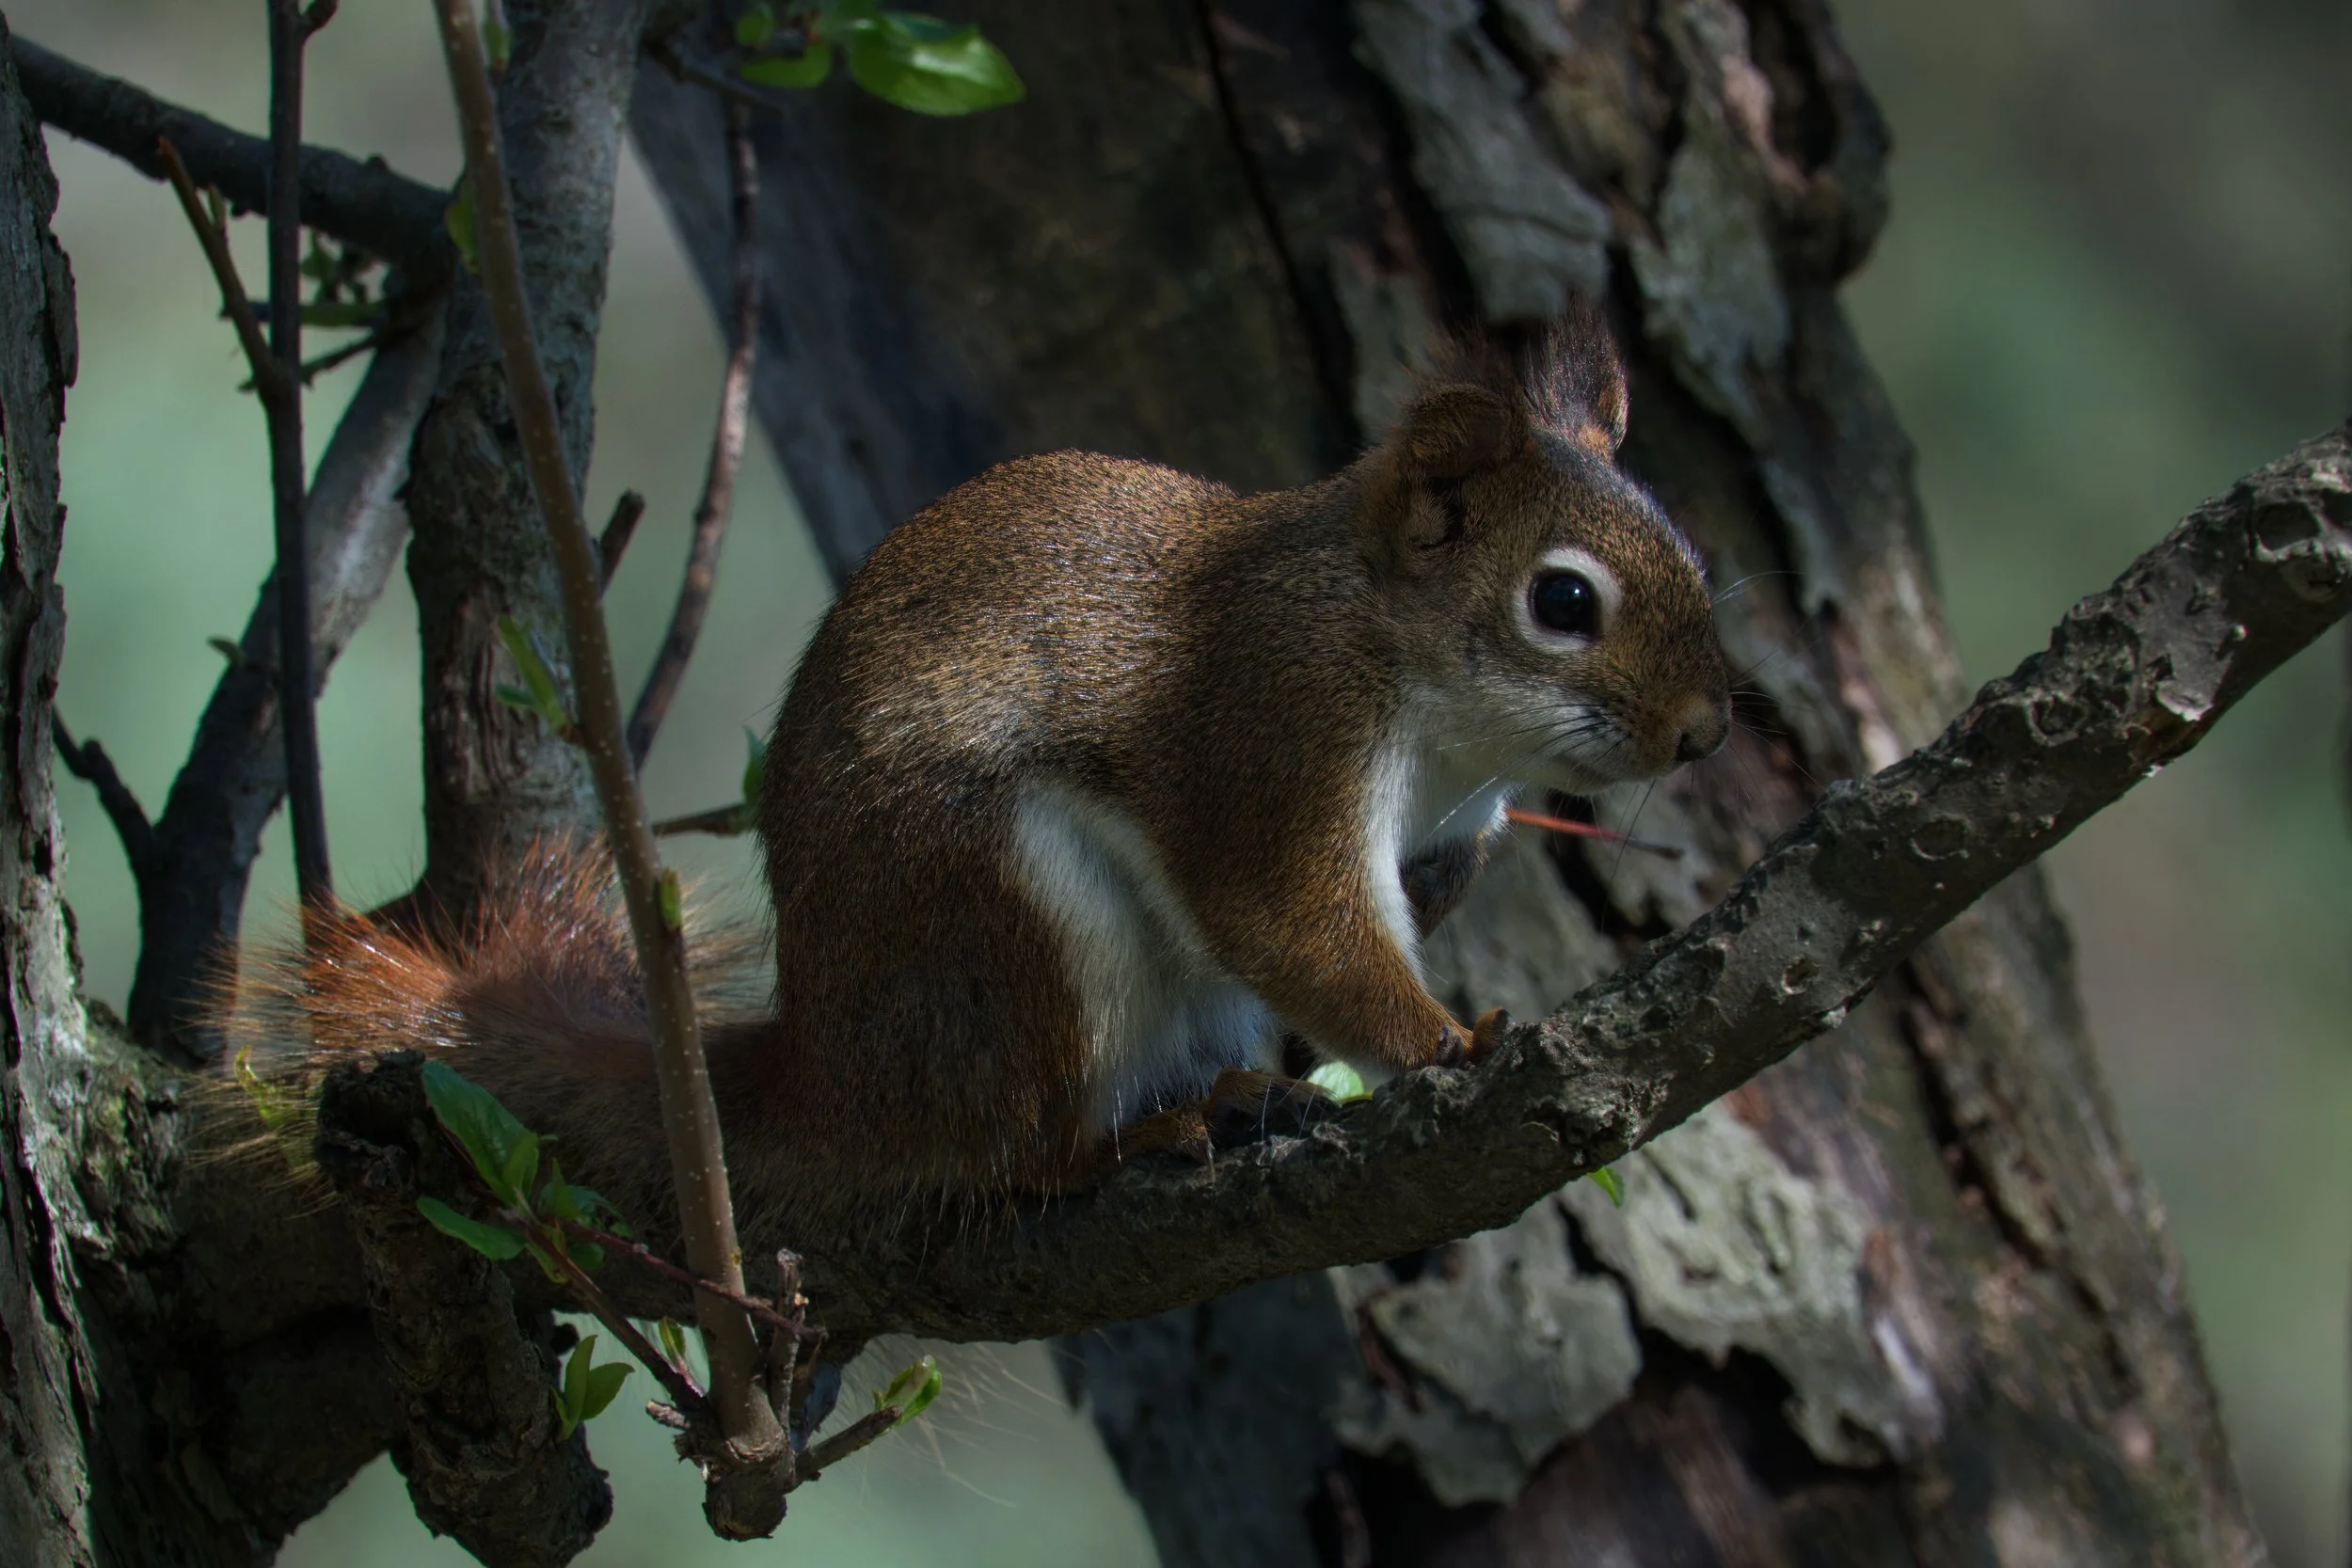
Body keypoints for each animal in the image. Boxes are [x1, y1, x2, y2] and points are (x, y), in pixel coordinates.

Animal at [228, 307, 1730, 1244]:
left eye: (1695, 555)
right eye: (1562, 601)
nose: (1708, 731)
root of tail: (837, 1072)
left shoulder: (1449, 810)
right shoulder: (1272, 733)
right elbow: (1291, 921)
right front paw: (1450, 1043)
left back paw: (1240, 1096)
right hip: (1006, 922)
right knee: (1019, 1156)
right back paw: (1136, 1138)